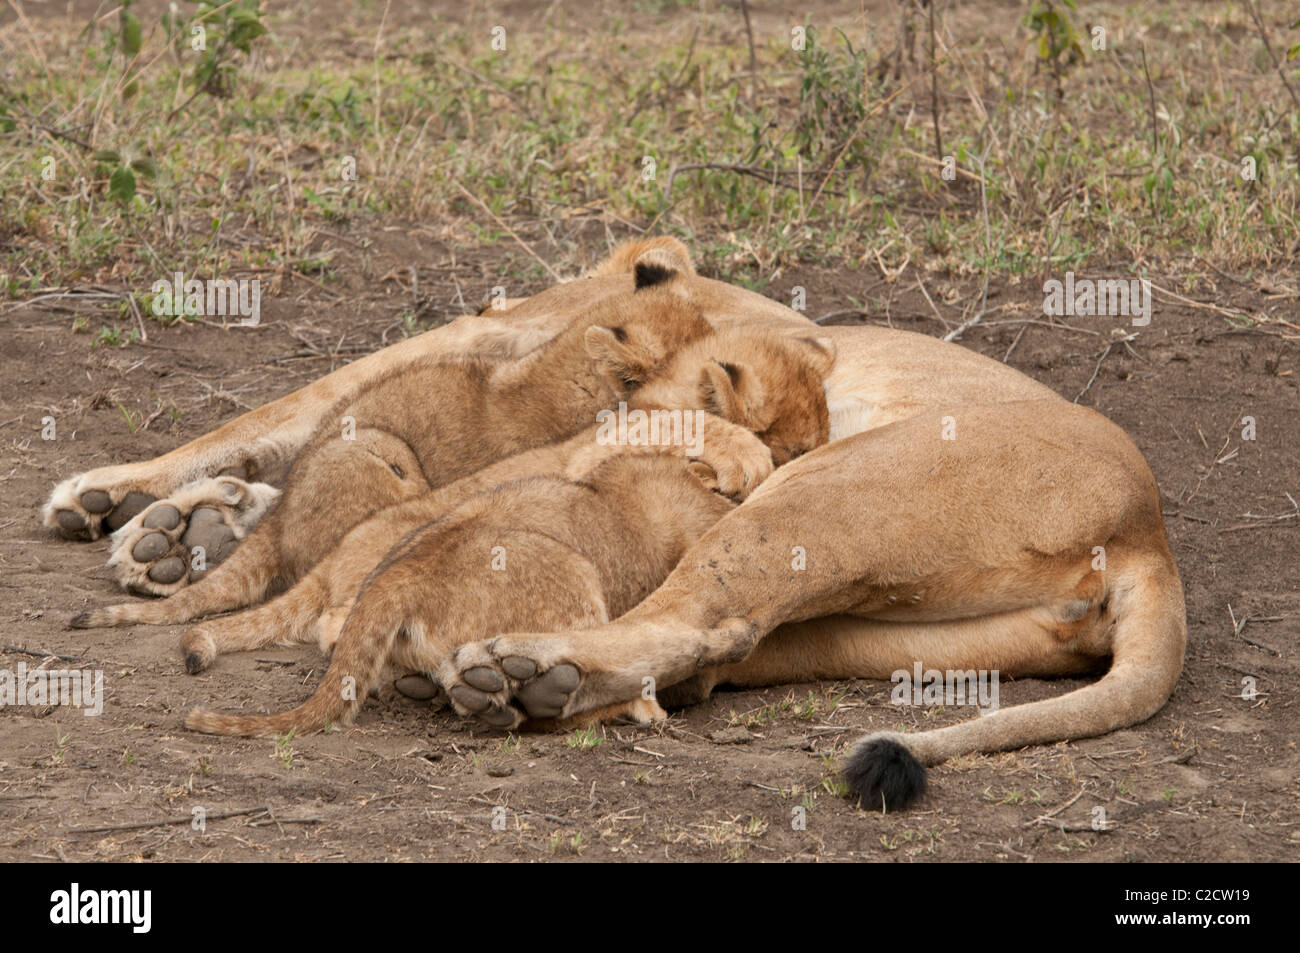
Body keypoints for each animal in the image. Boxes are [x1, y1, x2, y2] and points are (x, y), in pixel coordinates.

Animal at [47, 237, 1186, 810]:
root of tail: (1147, 533)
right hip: (871, 621)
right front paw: (173, 522)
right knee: (706, 649)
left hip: (826, 498)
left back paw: (503, 669)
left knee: (692, 621)